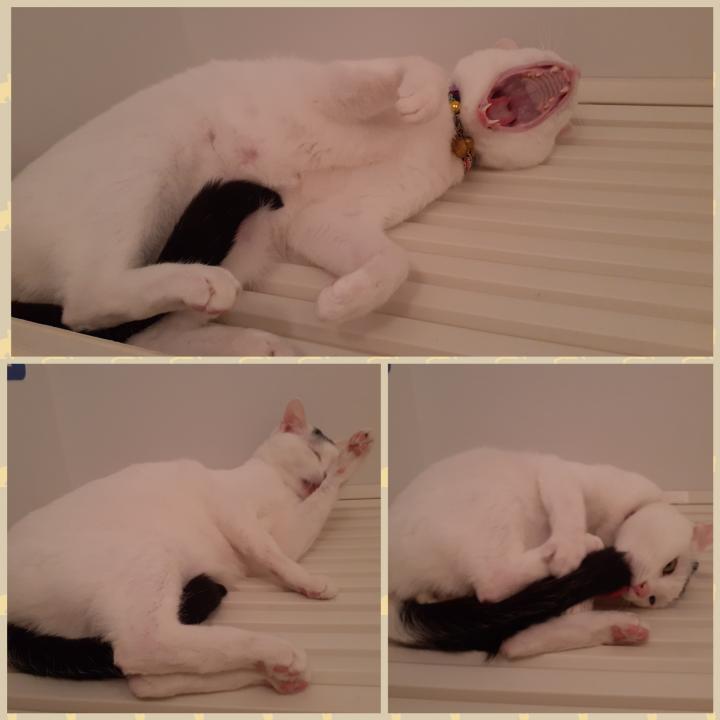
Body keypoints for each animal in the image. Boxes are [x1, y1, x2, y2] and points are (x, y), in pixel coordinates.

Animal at [8, 399, 374, 698]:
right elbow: (274, 555)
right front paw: (311, 582)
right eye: (314, 455)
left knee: (145, 681)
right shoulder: (238, 516)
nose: (321, 475)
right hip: (149, 554)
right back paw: (278, 652)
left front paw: (347, 464)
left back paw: (274, 675)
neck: (279, 487)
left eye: (325, 462)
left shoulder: (285, 534)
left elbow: (298, 530)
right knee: (143, 645)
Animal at [12, 39, 579, 355]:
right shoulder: (333, 86)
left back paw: (249, 341)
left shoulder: (325, 220)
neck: (451, 133)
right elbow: (410, 66)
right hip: (143, 163)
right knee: (86, 300)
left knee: (133, 332)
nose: (575, 70)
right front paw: (416, 92)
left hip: (245, 242)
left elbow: (393, 263)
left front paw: (342, 302)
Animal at [389, 448, 711, 658]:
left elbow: (520, 643)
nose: (643, 590)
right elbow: (569, 508)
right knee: (494, 581)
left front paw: (618, 628)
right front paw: (569, 549)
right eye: (670, 565)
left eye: (654, 600)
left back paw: (618, 625)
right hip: (496, 503)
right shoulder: (562, 472)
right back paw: (583, 547)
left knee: (503, 617)